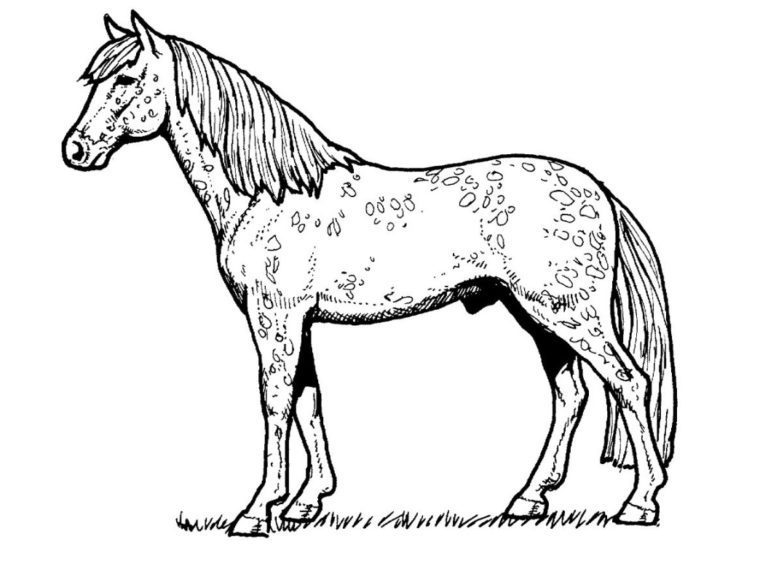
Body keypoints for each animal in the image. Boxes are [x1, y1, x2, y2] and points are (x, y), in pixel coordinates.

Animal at [62, 12, 676, 535]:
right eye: (94, 77)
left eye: (127, 76)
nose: (76, 150)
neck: (269, 194)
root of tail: (598, 192)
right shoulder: (299, 321)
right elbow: (307, 399)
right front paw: (305, 502)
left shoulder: (275, 317)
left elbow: (276, 400)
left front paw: (258, 511)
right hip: (537, 315)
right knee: (570, 395)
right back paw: (528, 499)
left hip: (568, 312)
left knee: (628, 383)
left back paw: (640, 502)